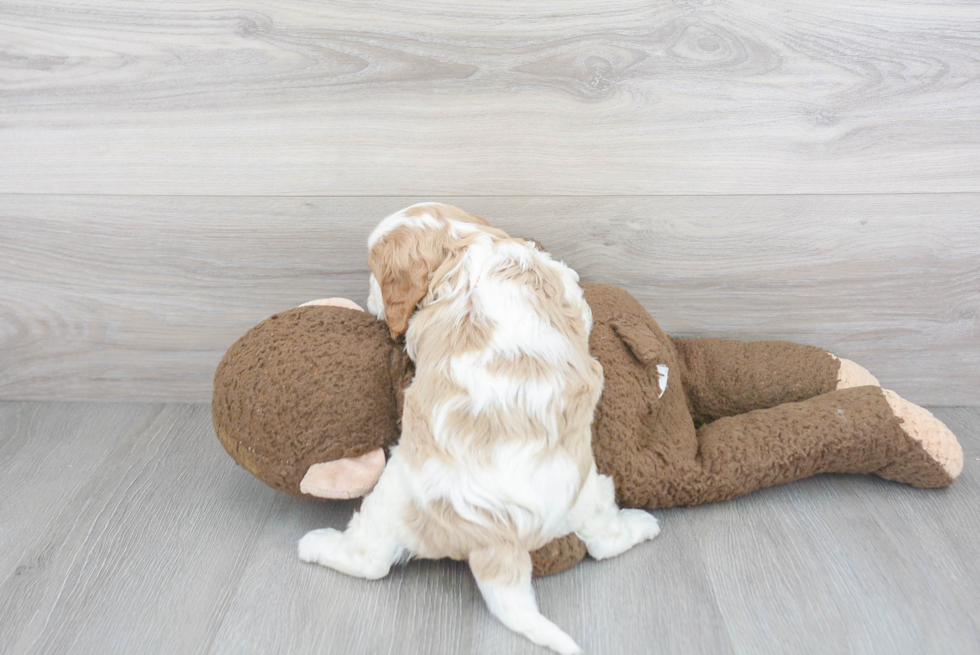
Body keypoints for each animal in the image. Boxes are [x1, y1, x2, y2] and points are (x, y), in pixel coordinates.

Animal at [298, 202, 660, 652]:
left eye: (374, 273)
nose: (367, 297)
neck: (462, 242)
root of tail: (497, 532)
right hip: (586, 492)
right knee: (604, 541)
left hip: (395, 501)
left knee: (371, 561)